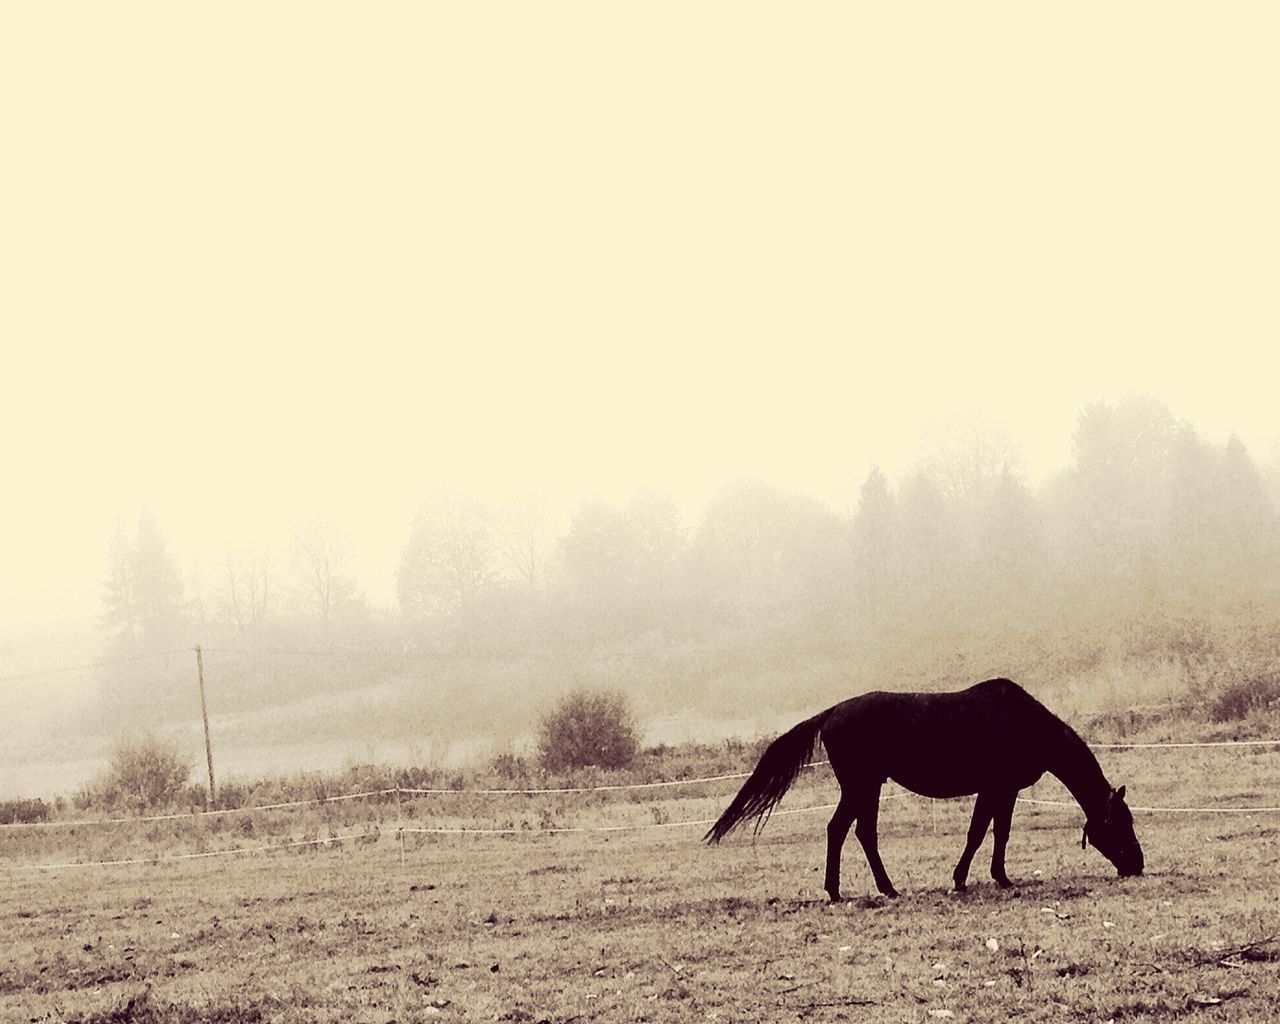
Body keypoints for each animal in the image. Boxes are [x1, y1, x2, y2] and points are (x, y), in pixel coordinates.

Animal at [706, 680, 1146, 906]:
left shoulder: (1003, 792)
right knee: (847, 831)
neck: (1025, 723)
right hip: (861, 786)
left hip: (866, 787)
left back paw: (865, 888)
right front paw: (966, 880)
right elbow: (979, 833)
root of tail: (831, 712)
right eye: (1120, 822)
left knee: (856, 832)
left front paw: (998, 877)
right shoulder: (996, 788)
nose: (1137, 864)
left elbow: (996, 833)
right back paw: (855, 890)